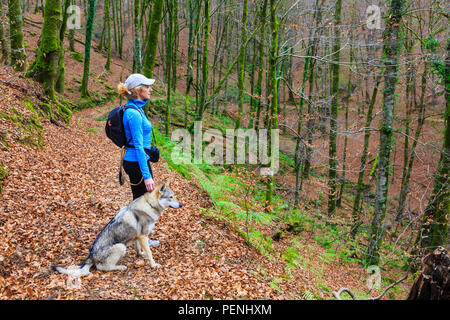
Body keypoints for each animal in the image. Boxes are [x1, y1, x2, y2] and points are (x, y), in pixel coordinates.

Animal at [51, 180, 181, 278]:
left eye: (175, 196)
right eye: (171, 197)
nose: (181, 205)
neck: (150, 205)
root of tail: (91, 255)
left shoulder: (138, 236)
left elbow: (139, 248)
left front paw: (140, 254)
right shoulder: (143, 236)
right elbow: (150, 253)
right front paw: (154, 265)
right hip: (121, 247)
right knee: (103, 268)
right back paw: (120, 267)